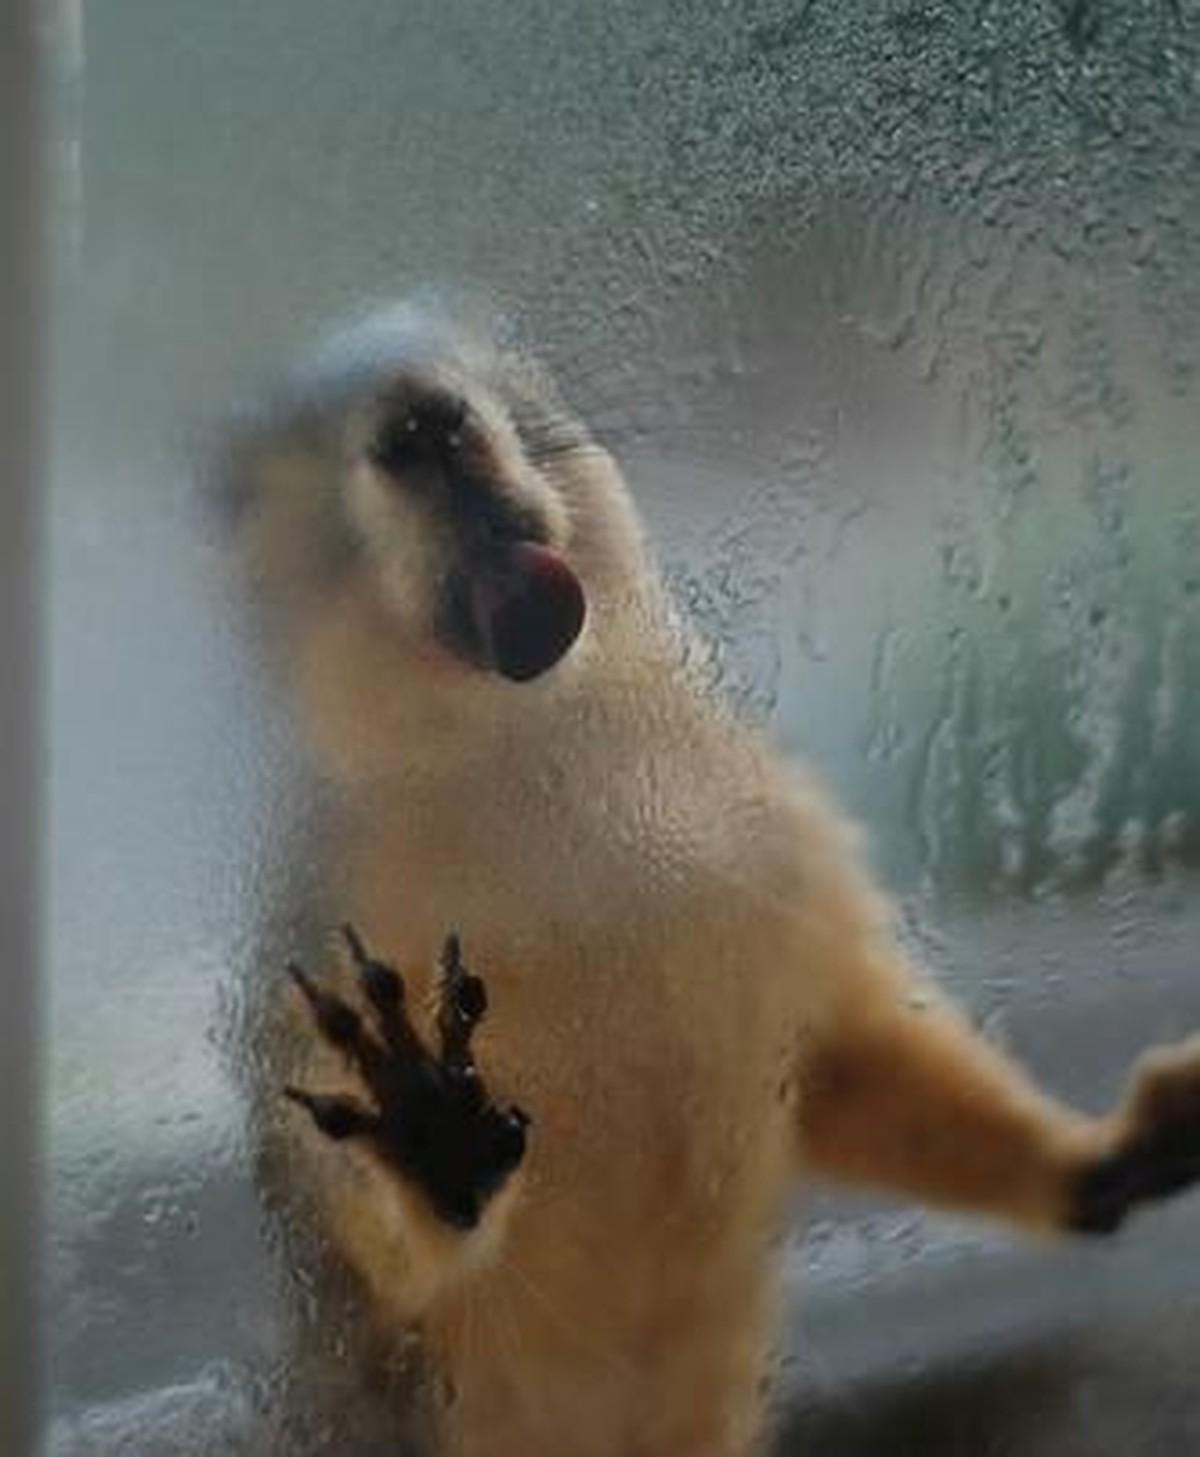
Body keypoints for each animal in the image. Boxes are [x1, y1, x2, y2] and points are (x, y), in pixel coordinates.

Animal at [216, 302, 1200, 1457]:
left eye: (498, 369)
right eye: (276, 470)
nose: (425, 416)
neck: (557, 765)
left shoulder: (784, 852)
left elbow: (856, 1055)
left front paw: (1112, 1151)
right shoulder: (324, 925)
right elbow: (361, 1232)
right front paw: (429, 1128)